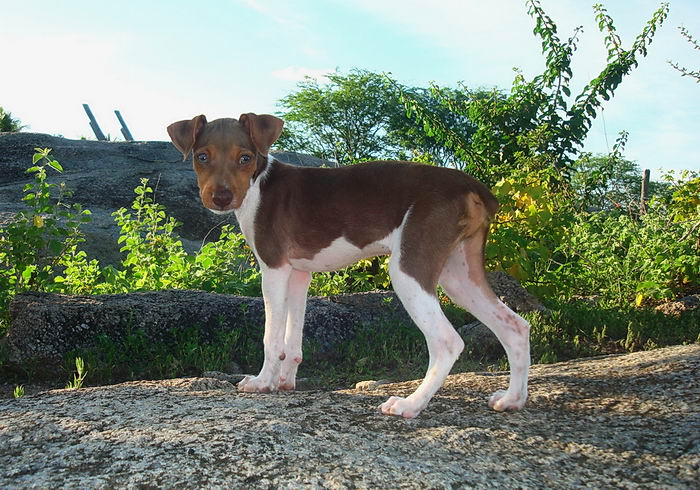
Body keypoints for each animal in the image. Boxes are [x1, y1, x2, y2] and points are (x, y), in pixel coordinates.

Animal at [168, 114, 532, 418]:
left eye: (245, 157)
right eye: (202, 157)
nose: (221, 198)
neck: (259, 183)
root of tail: (473, 187)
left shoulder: (273, 269)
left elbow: (272, 338)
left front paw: (262, 383)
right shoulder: (298, 273)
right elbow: (292, 340)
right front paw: (285, 382)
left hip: (409, 270)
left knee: (448, 342)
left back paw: (410, 405)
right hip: (459, 276)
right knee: (515, 326)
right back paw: (511, 399)